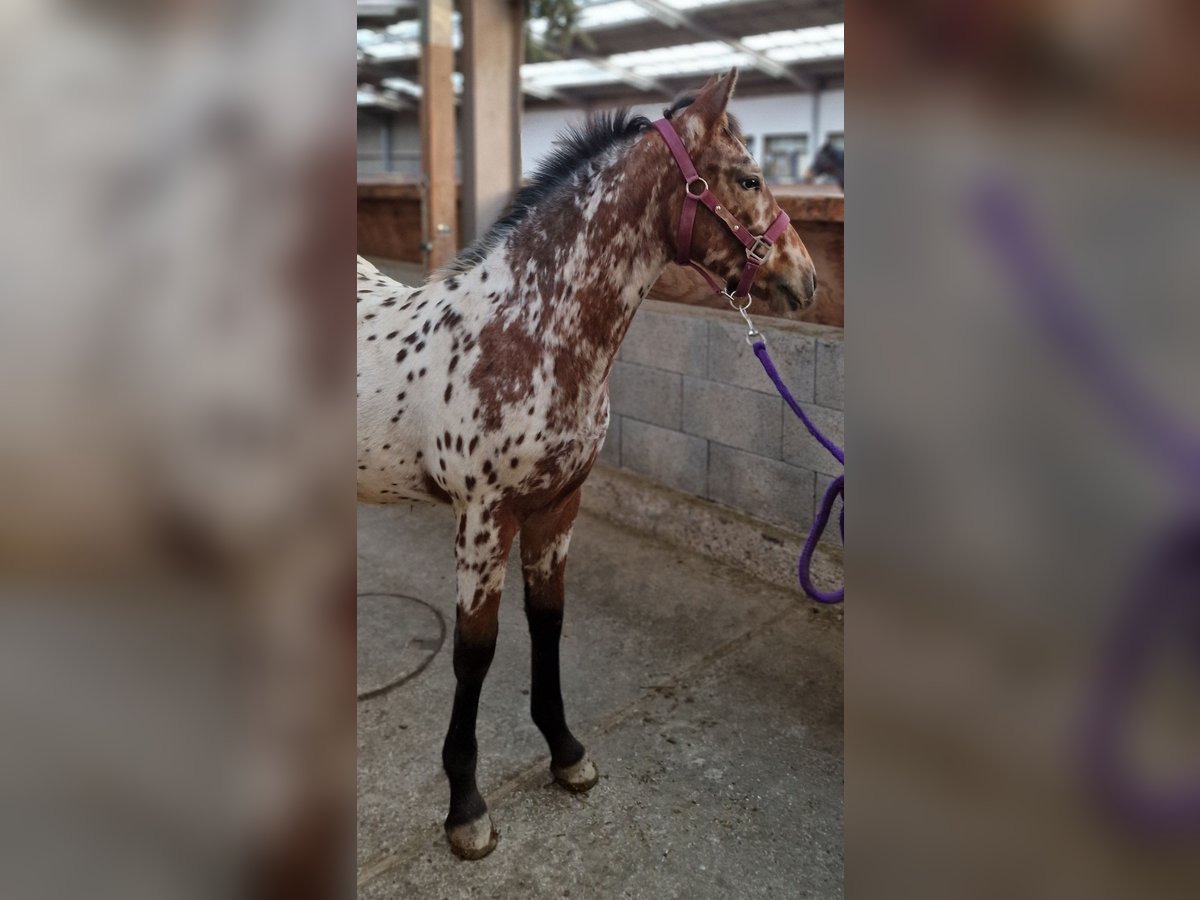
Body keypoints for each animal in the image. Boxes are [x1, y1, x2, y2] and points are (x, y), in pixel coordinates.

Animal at [355, 70, 820, 859]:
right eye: (748, 176)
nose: (807, 279)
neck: (526, 332)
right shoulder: (483, 519)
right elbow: (475, 652)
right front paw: (466, 808)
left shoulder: (558, 507)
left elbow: (549, 624)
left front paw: (567, 752)